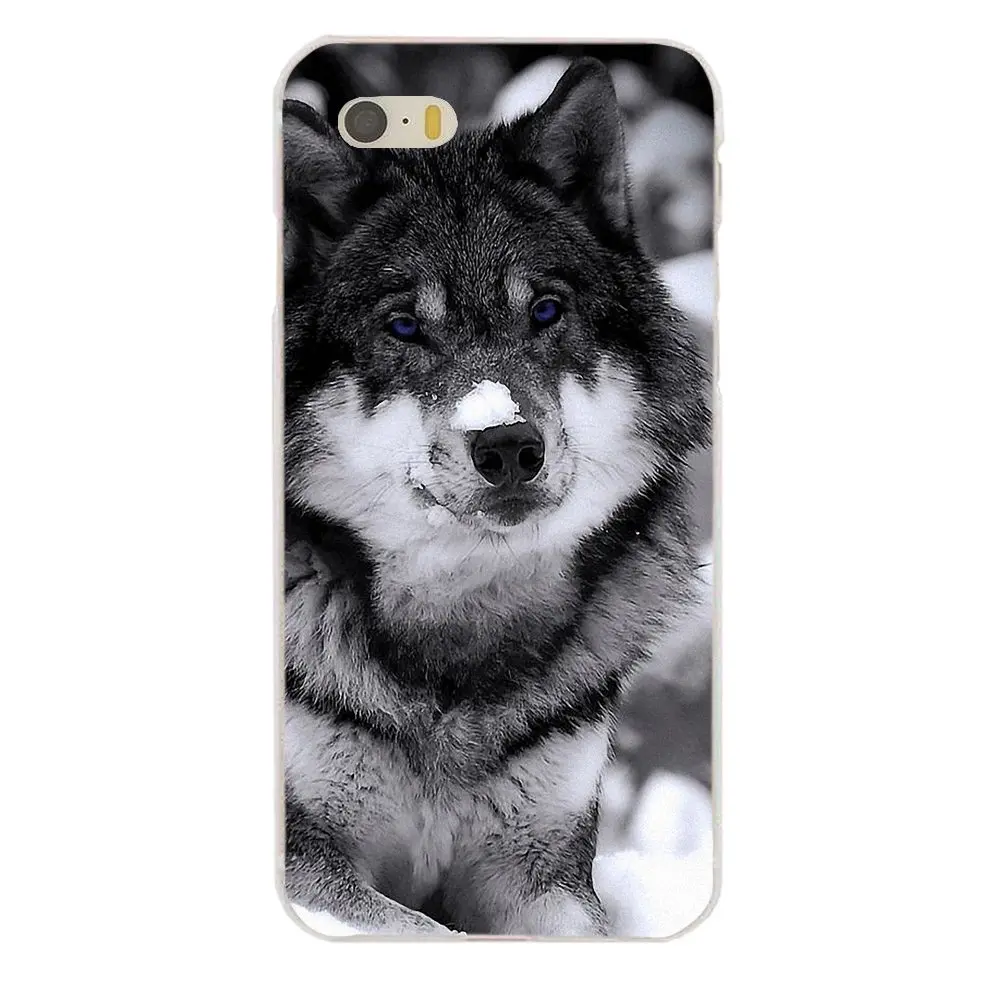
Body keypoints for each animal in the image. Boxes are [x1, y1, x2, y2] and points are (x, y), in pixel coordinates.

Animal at [281, 57, 710, 936]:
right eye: (404, 327)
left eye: (545, 311)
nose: (508, 444)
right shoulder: (307, 862)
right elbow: (422, 932)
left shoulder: (538, 872)